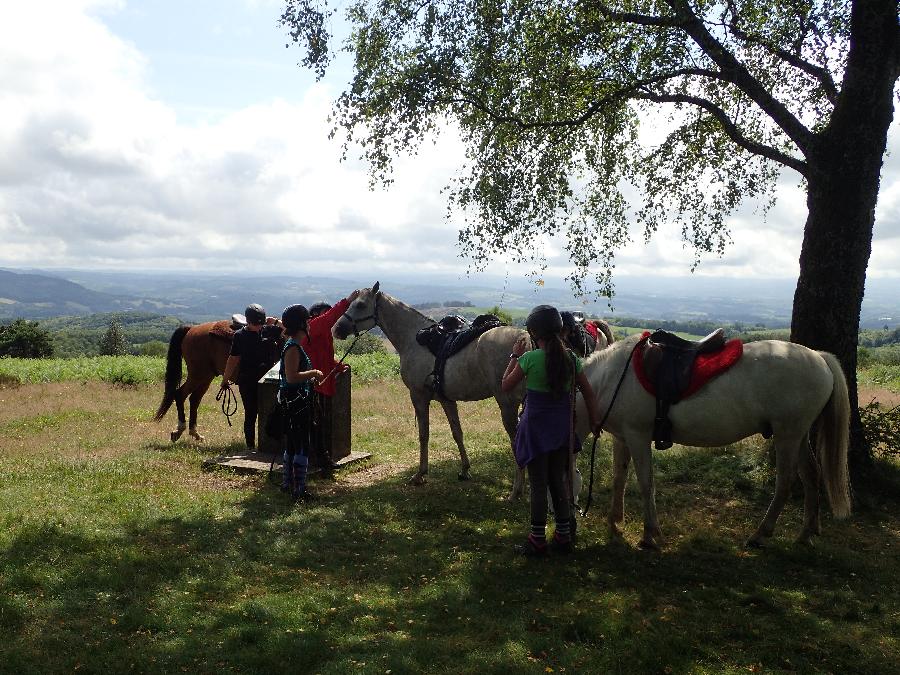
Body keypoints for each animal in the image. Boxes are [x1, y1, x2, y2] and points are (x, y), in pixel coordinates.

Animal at [154, 322, 282, 444]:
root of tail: (192, 328)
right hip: (197, 375)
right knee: (180, 395)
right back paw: (180, 430)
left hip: (206, 377)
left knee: (194, 399)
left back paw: (195, 433)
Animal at [332, 282, 532, 496]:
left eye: (361, 305)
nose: (337, 329)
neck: (413, 338)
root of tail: (525, 340)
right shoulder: (447, 400)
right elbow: (457, 433)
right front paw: (465, 469)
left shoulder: (418, 396)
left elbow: (424, 434)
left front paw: (420, 474)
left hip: (507, 404)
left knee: (517, 441)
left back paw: (516, 490)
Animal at [576, 332, 852, 548]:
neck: (612, 378)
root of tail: (819, 357)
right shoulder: (622, 437)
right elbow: (619, 479)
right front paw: (615, 523)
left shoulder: (637, 435)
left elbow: (646, 484)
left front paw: (650, 535)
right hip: (799, 434)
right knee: (811, 475)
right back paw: (806, 533)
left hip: (788, 434)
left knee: (785, 482)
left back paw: (760, 535)